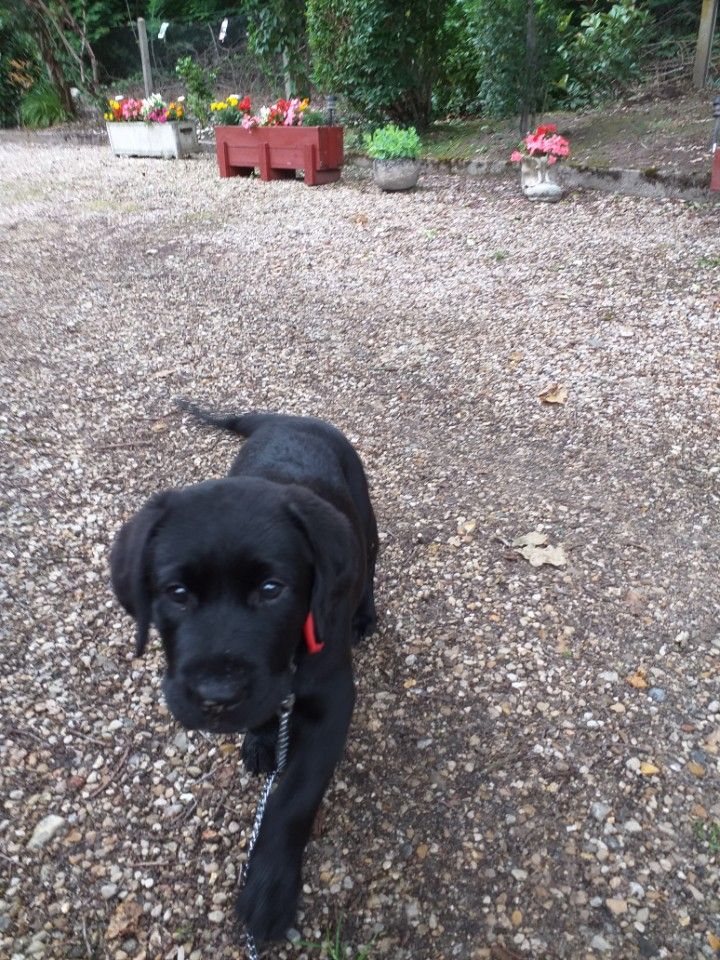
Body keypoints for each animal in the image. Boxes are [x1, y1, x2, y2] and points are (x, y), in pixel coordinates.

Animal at [110, 404, 380, 936]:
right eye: (176, 593)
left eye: (272, 589)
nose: (216, 694)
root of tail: (287, 417)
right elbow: (265, 711)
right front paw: (260, 738)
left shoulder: (333, 701)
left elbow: (294, 798)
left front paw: (269, 891)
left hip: (366, 521)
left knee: (370, 572)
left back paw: (364, 613)